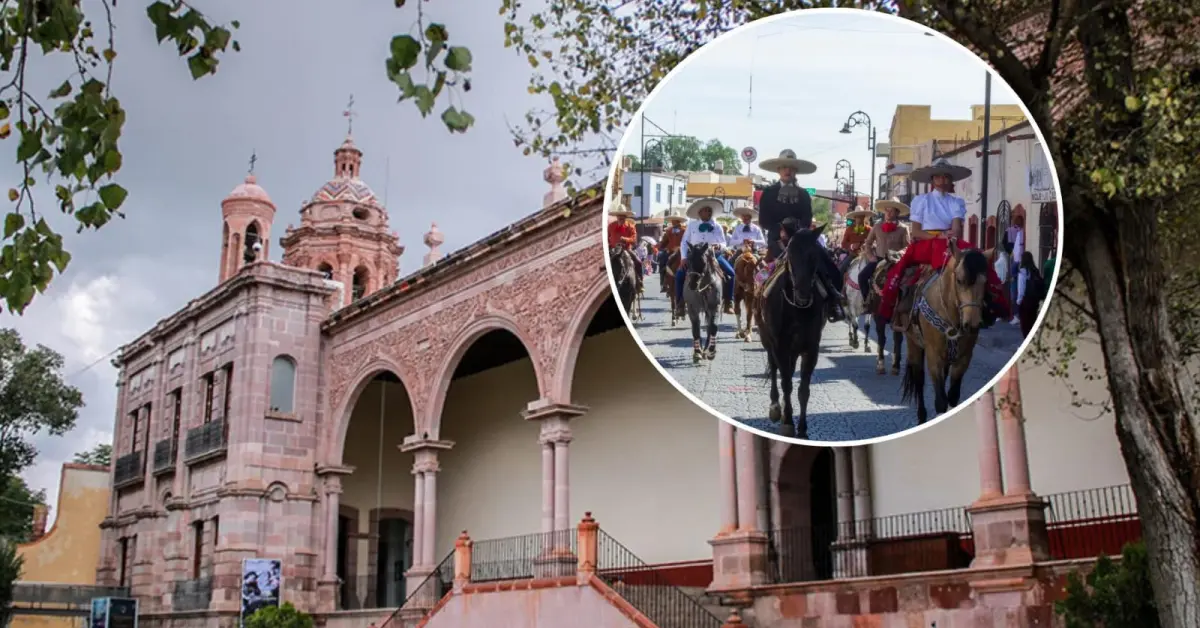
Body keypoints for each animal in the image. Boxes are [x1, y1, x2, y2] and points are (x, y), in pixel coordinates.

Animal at [753, 223, 830, 439]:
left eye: (815, 255)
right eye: (791, 254)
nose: (803, 292)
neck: (797, 308)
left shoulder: (811, 348)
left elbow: (803, 389)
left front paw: (802, 429)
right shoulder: (780, 345)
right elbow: (786, 382)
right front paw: (787, 421)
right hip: (767, 338)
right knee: (774, 368)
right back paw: (775, 407)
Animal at [897, 238, 988, 425]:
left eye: (985, 282)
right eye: (960, 280)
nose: (972, 324)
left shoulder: (964, 358)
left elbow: (952, 396)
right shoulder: (934, 357)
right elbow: (940, 400)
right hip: (913, 343)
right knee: (919, 378)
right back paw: (921, 416)